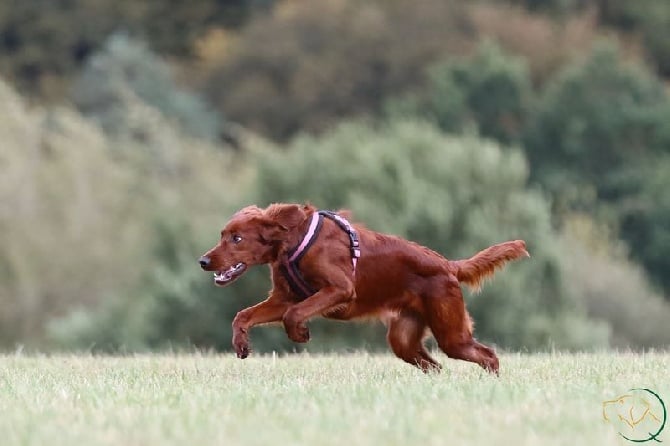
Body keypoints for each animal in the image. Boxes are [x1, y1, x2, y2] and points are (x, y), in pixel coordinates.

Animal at [200, 204, 532, 374]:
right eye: (222, 235)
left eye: (237, 239)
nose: (203, 261)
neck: (292, 241)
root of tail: (448, 266)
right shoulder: (284, 297)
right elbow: (243, 316)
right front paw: (241, 345)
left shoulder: (340, 289)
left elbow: (294, 314)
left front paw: (300, 333)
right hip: (403, 339)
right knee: (434, 365)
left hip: (451, 333)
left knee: (488, 355)